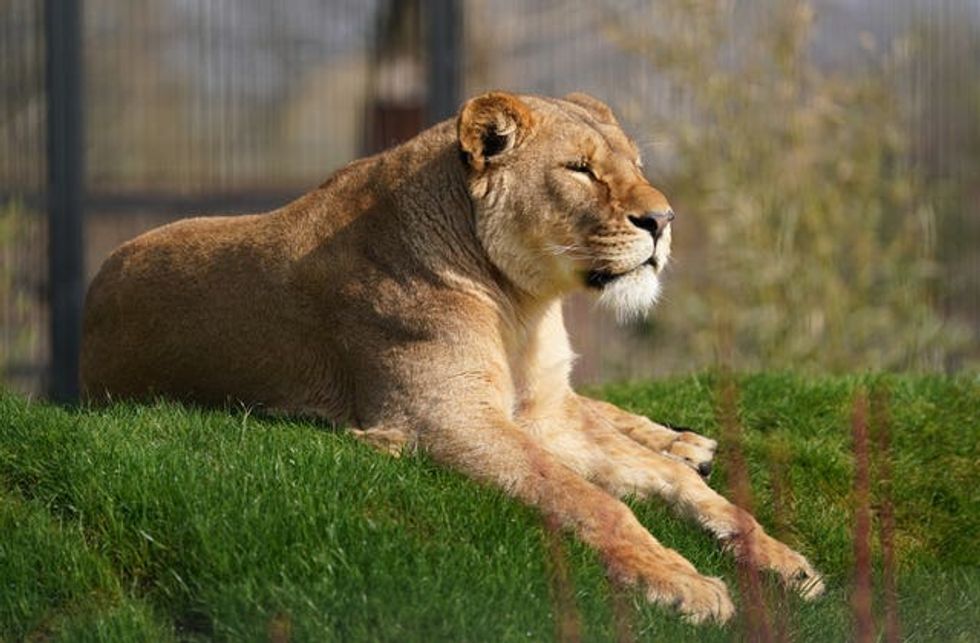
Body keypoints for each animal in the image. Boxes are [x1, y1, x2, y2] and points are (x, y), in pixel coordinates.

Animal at [80, 91, 823, 623]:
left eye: (635, 165)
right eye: (580, 170)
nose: (663, 222)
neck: (523, 305)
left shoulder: (542, 412)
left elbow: (671, 482)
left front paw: (778, 556)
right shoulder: (446, 417)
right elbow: (590, 498)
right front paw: (682, 581)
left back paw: (686, 441)